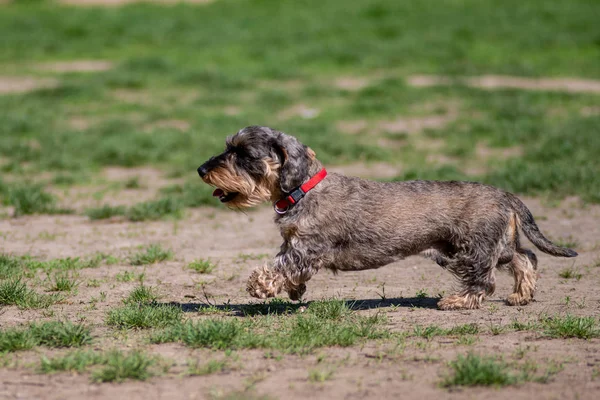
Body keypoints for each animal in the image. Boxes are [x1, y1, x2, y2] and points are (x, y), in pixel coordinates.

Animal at [199, 125, 580, 310]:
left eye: (243, 153)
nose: (202, 169)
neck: (303, 189)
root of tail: (505, 194)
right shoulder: (293, 243)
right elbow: (286, 267)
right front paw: (293, 290)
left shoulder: (306, 248)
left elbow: (279, 266)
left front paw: (259, 286)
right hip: (489, 246)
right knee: (525, 258)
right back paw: (521, 296)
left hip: (471, 250)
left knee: (484, 281)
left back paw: (458, 301)